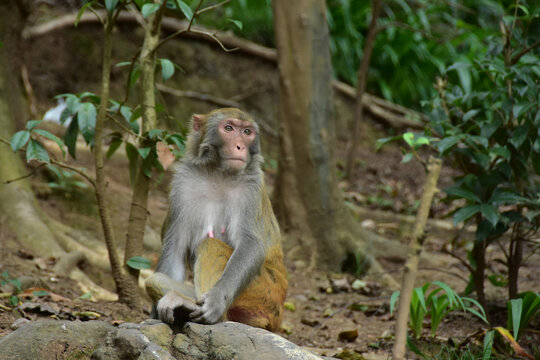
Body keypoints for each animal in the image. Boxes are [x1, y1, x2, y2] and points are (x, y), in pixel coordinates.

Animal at [151, 107, 286, 332]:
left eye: (247, 132)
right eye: (229, 128)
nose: (240, 146)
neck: (218, 174)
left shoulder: (252, 187)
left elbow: (251, 244)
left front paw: (215, 301)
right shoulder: (181, 186)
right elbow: (175, 253)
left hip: (265, 293)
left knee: (211, 245)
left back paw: (204, 311)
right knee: (153, 280)